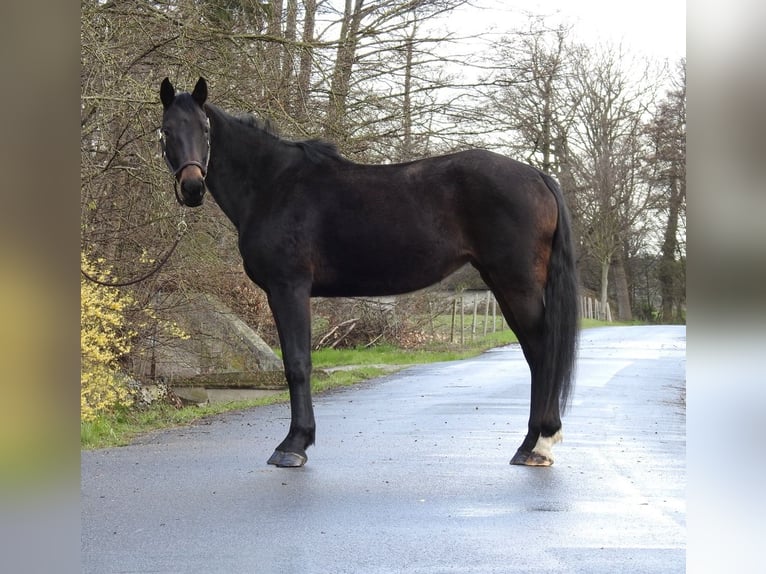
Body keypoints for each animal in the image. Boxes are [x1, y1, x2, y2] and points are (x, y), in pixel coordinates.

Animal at [159, 77, 579, 468]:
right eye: (166, 130)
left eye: (205, 129)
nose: (192, 187)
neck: (272, 185)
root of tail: (538, 177)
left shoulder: (288, 288)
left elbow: (297, 363)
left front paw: (293, 445)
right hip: (502, 284)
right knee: (535, 353)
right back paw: (530, 444)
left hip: (517, 283)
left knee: (543, 350)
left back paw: (539, 444)